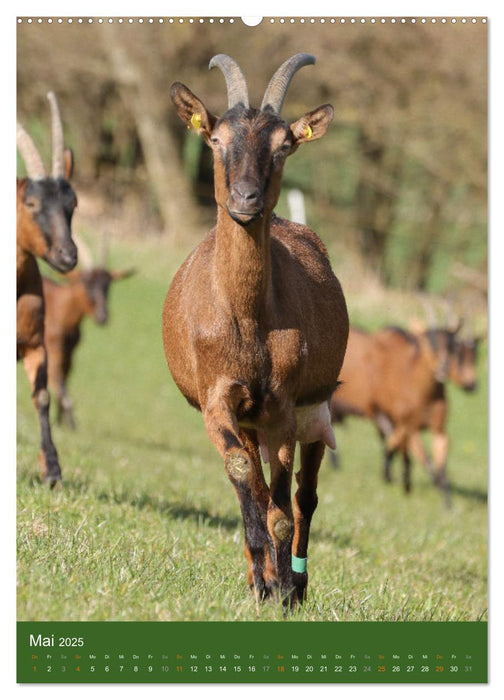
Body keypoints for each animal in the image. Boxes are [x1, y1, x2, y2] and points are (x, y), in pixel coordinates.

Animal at [163, 53, 348, 608]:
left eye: (284, 143)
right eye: (216, 139)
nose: (245, 199)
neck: (246, 320)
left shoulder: (282, 407)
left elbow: (282, 508)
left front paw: (285, 588)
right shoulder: (220, 400)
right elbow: (247, 480)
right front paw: (264, 583)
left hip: (315, 410)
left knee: (304, 494)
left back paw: (298, 582)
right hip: (247, 421)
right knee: (259, 484)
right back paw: (260, 576)